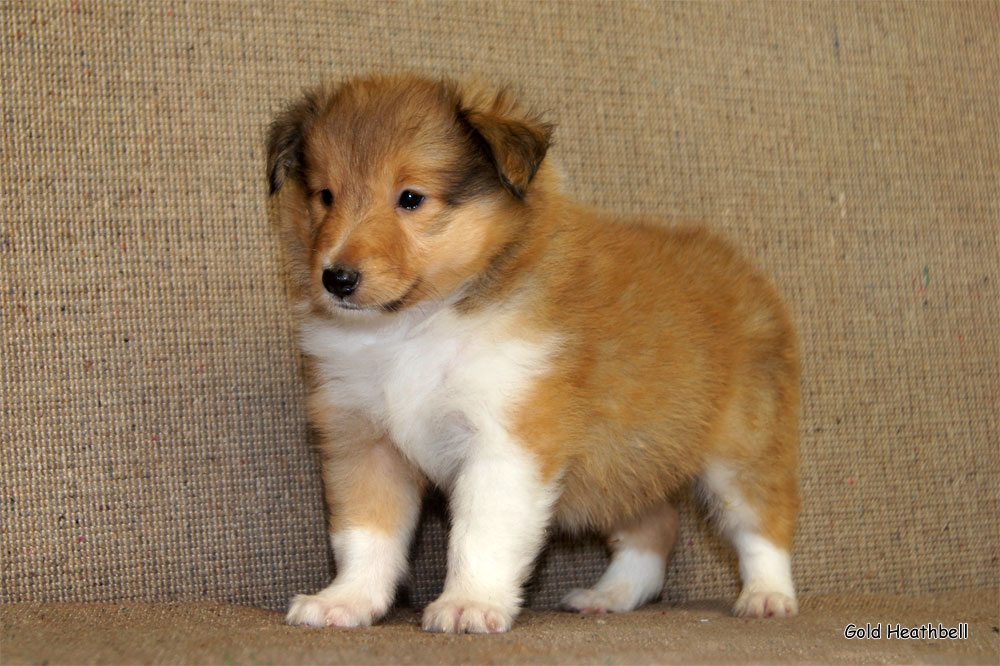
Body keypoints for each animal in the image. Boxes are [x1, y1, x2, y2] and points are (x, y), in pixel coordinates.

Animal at [270, 74, 800, 632]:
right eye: (325, 196)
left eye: (411, 198)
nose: (336, 278)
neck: (416, 327)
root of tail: (738, 266)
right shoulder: (365, 441)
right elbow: (365, 534)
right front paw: (344, 601)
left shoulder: (508, 439)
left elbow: (479, 535)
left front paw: (469, 604)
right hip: (628, 457)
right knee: (658, 525)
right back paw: (610, 596)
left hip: (742, 448)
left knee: (764, 522)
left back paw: (767, 596)